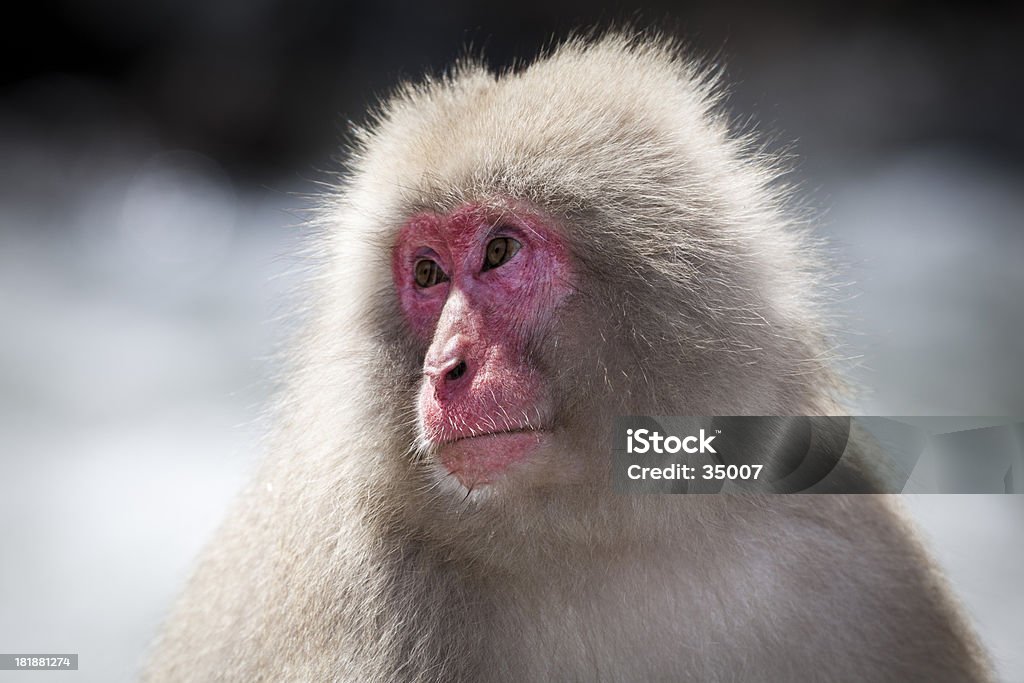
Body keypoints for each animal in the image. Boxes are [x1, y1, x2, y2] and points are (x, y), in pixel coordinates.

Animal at [144, 34, 991, 683]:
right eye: (428, 273)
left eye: (498, 252)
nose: (443, 368)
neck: (607, 538)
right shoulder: (369, 602)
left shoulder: (851, 548)